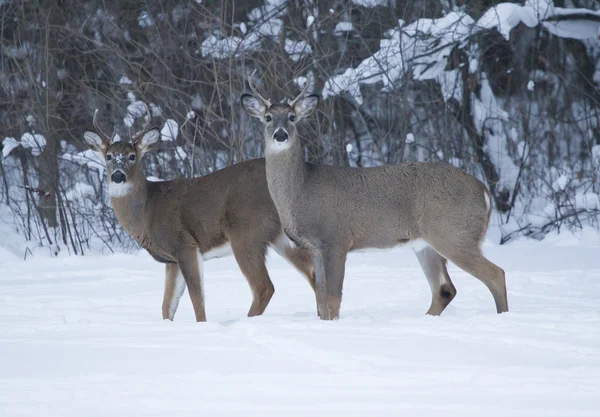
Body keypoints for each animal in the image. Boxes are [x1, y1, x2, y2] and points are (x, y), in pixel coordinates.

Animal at [85, 104, 318, 322]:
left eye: (132, 156)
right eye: (108, 156)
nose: (118, 176)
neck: (147, 210)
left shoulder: (184, 244)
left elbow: (196, 298)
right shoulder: (171, 261)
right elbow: (167, 306)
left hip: (246, 231)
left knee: (264, 286)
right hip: (279, 235)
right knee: (312, 271)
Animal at [241, 72, 508, 318]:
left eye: (292, 117)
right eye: (268, 117)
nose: (281, 135)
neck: (301, 190)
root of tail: (483, 189)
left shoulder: (336, 239)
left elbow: (333, 300)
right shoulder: (315, 248)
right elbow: (321, 302)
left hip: (453, 232)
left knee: (496, 274)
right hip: (426, 243)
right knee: (444, 289)